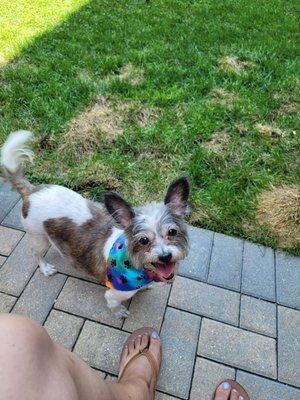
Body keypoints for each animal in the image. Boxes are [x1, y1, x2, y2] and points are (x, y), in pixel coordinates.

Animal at [0, 130, 190, 316]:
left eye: (172, 232)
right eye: (143, 240)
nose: (165, 256)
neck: (135, 265)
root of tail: (31, 190)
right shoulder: (113, 294)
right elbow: (114, 305)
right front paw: (120, 312)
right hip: (38, 237)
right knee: (36, 253)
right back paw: (45, 267)